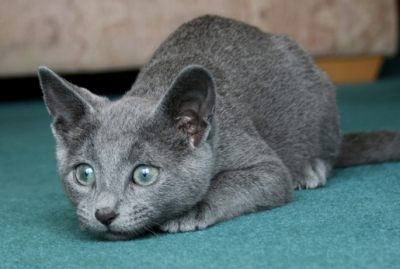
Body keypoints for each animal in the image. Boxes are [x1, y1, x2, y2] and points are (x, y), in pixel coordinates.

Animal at [38, 15, 400, 240]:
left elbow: (231, 182)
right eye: (84, 174)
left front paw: (189, 212)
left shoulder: (267, 168)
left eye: (144, 174)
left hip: (321, 94)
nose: (104, 213)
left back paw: (310, 168)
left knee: (330, 150)